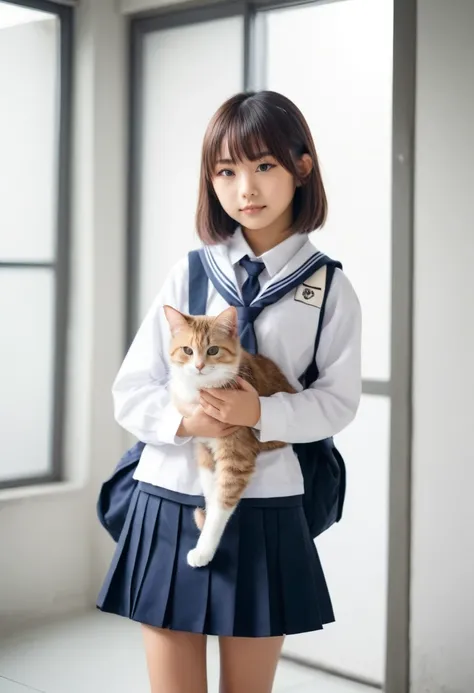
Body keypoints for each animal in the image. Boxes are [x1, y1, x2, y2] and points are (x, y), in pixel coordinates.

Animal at [165, 306, 294, 564]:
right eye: (187, 350)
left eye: (213, 350)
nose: (199, 366)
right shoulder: (203, 446)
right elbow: (210, 490)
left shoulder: (237, 457)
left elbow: (221, 504)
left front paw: (203, 550)